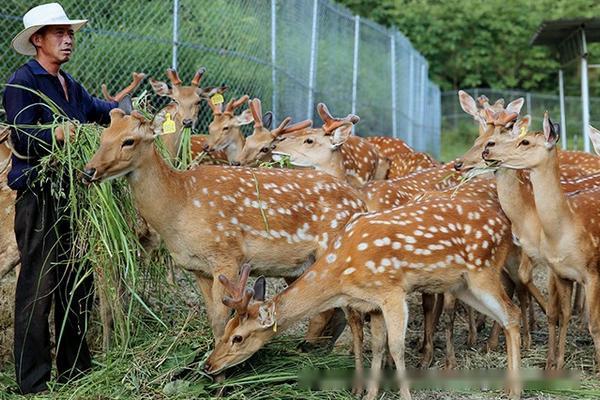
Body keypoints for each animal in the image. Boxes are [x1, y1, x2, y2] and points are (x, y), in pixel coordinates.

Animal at [83, 108, 366, 340]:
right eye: (104, 136)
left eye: (128, 141)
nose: (88, 171)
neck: (180, 203)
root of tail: (361, 204)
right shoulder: (198, 268)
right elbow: (213, 319)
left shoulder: (227, 256)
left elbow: (221, 321)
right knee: (333, 311)